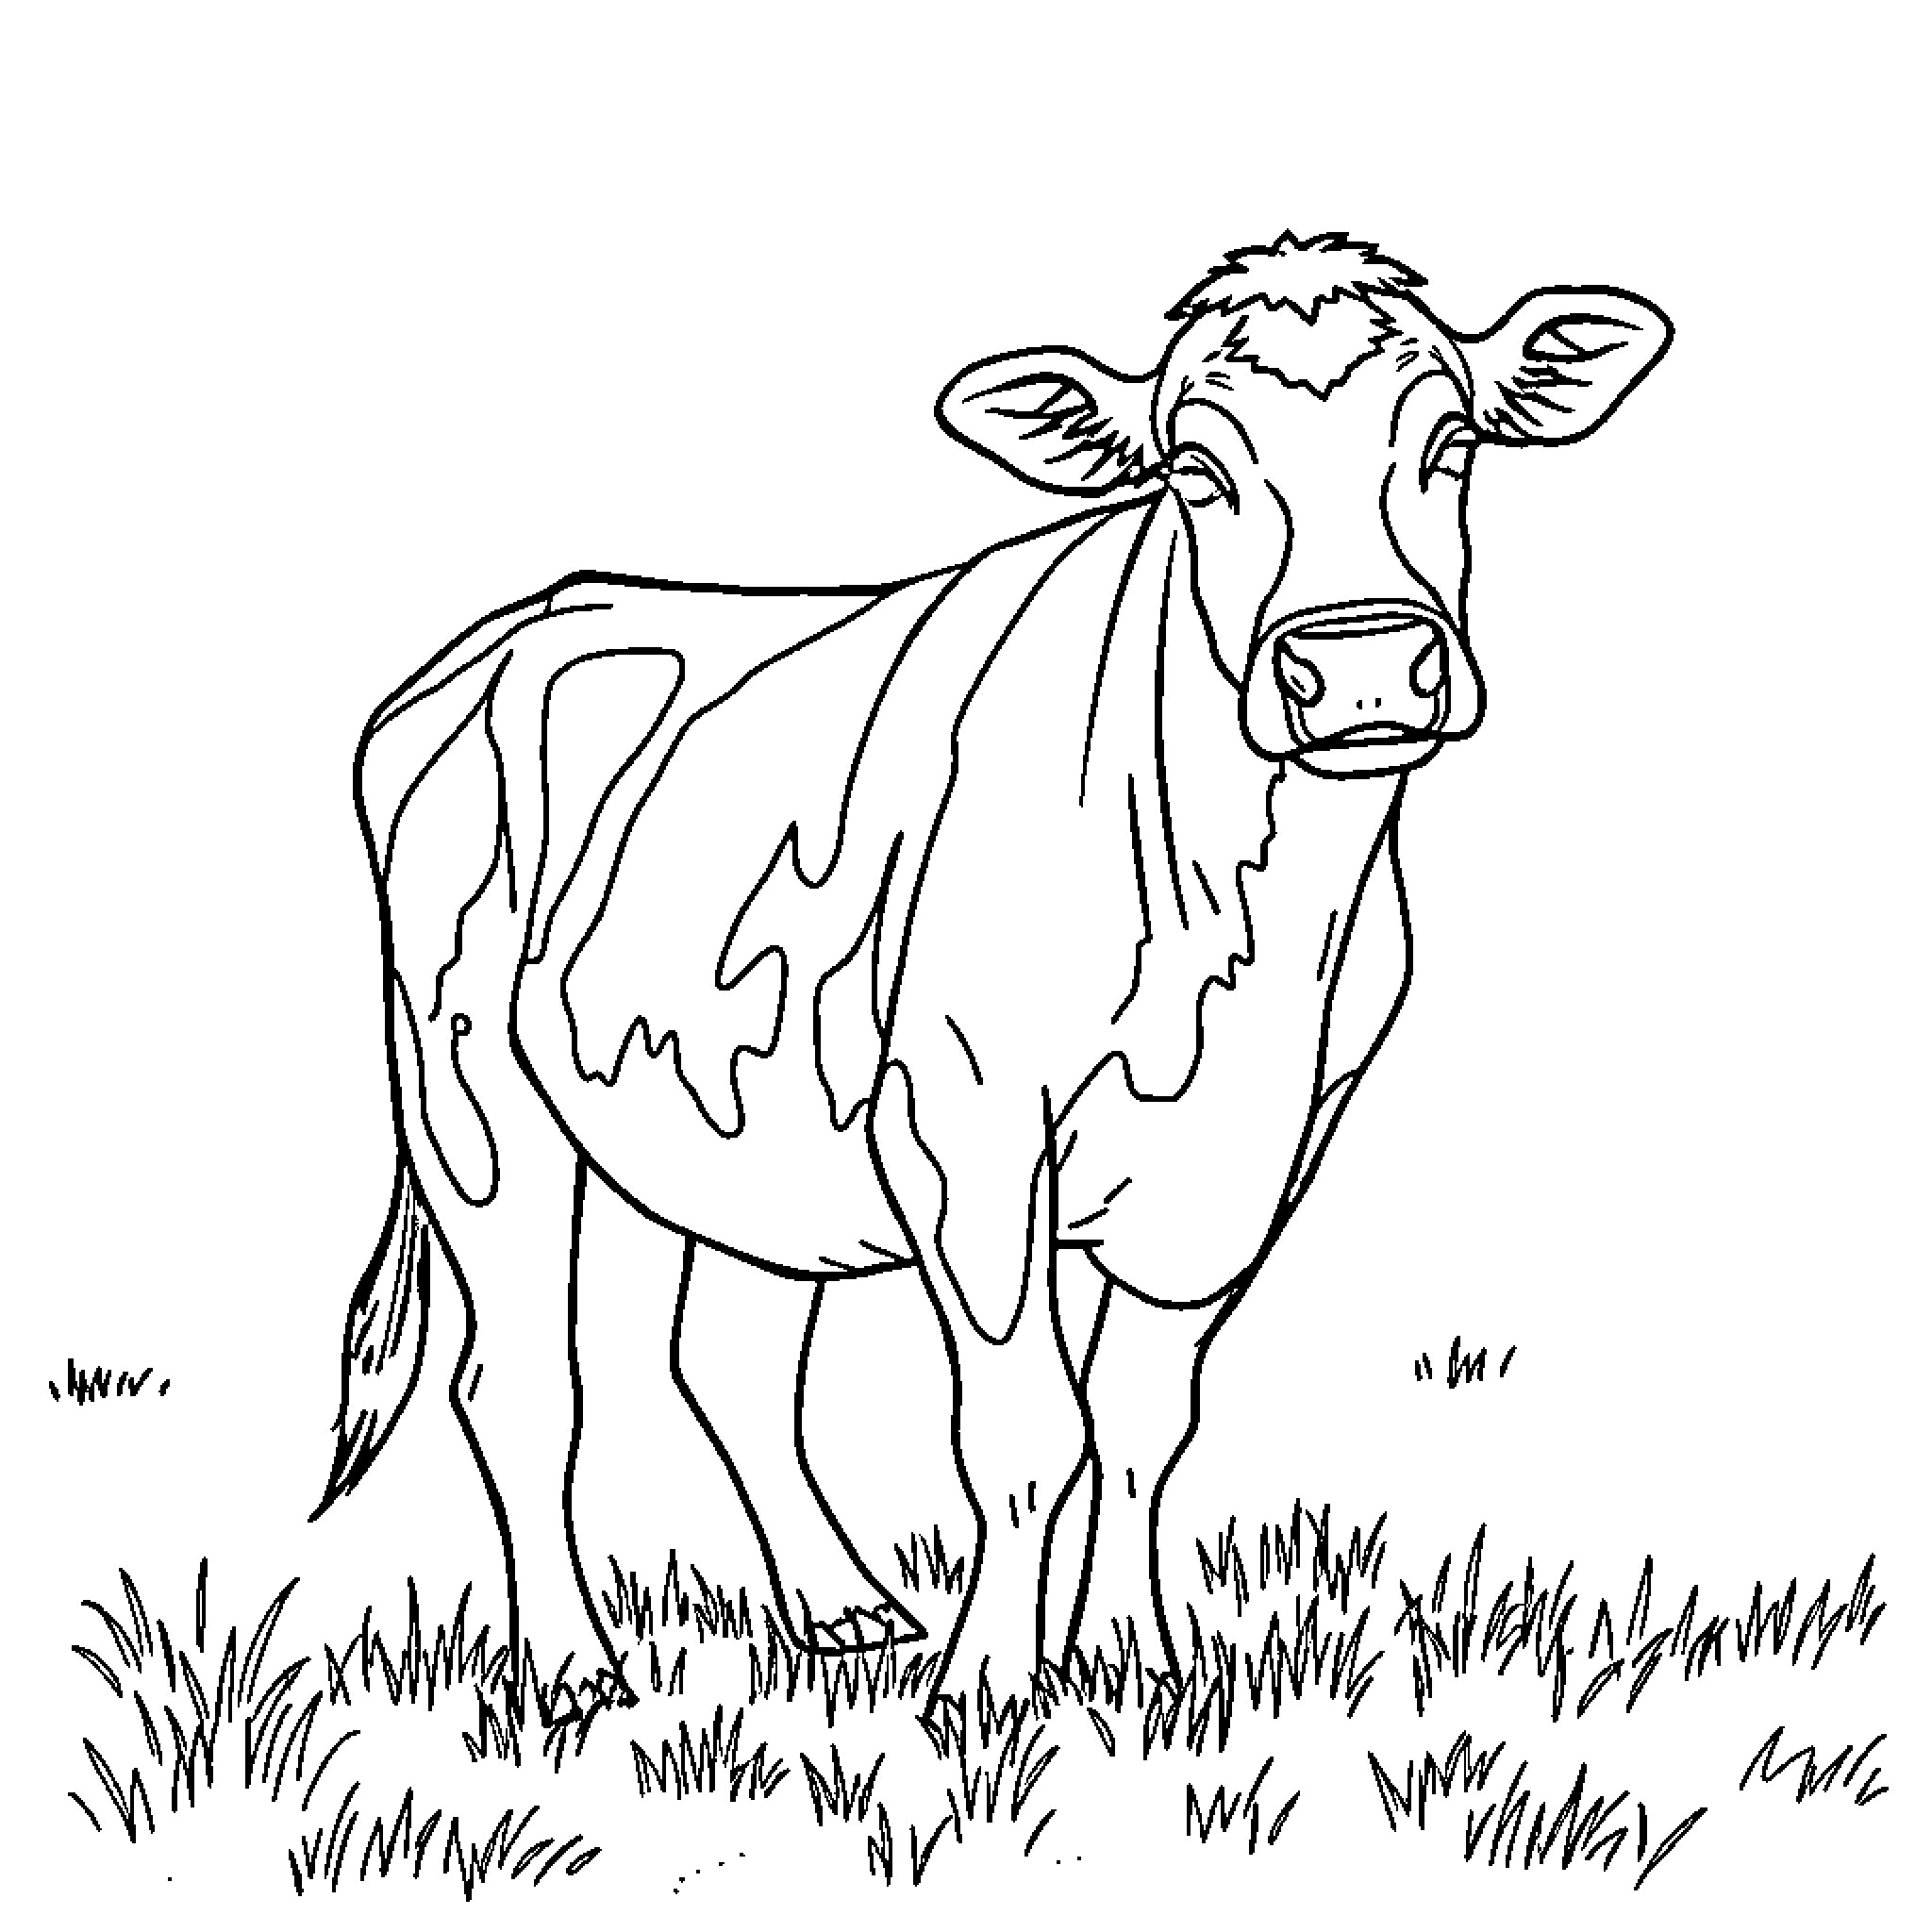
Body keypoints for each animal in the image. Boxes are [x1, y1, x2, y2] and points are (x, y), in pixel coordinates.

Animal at [315, 223, 1670, 1719]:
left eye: (1447, 445)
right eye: (1197, 470)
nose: (1361, 669)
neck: (1249, 939)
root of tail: (510, 633)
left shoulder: (1263, 1152)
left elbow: (1142, 1419)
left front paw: (1141, 1660)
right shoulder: (962, 1124)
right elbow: (1025, 1428)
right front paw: (990, 1687)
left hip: (731, 1103)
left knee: (731, 1365)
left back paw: (840, 1610)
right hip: (474, 1104)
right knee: (514, 1385)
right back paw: (570, 1668)